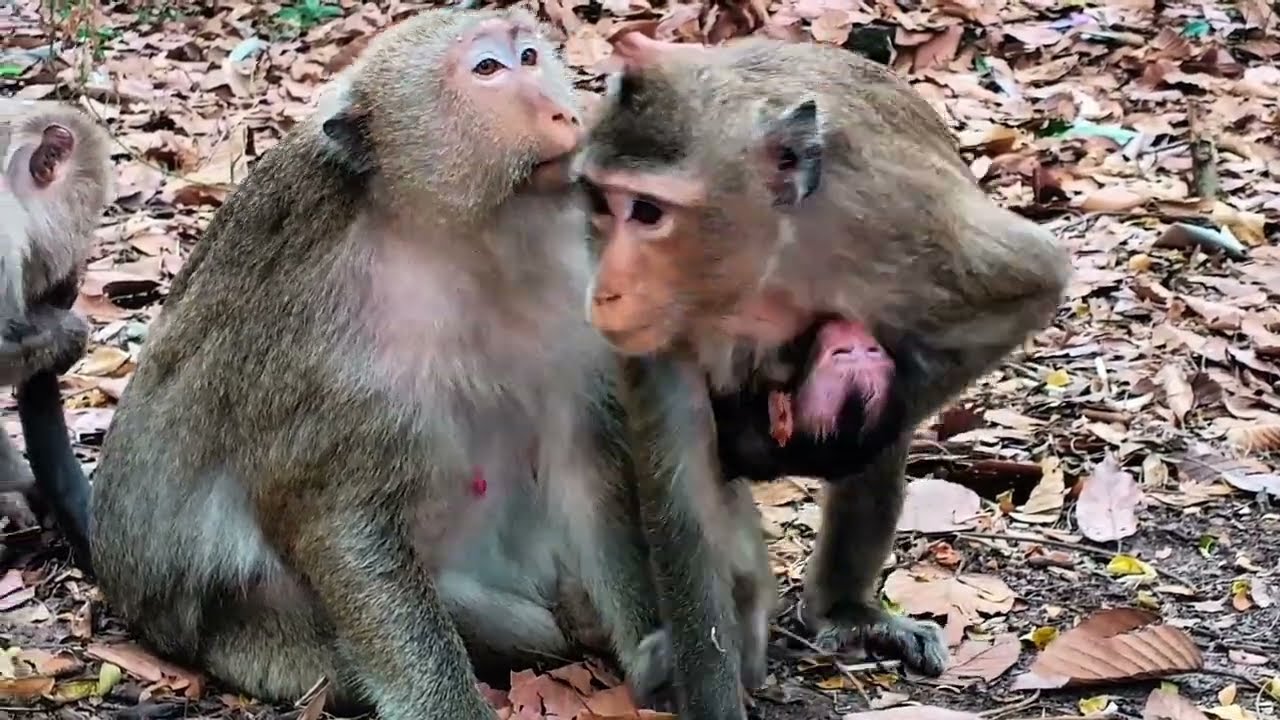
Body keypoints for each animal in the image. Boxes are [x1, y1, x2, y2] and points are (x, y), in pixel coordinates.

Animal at [88, 10, 773, 720]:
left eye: (530, 56)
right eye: (487, 70)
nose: (564, 111)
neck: (463, 234)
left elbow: (587, 467)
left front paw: (649, 649)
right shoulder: (331, 346)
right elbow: (340, 520)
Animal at [575, 32, 1071, 679]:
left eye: (648, 213)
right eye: (600, 203)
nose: (606, 289)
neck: (767, 257)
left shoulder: (898, 218)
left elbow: (1031, 285)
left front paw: (811, 443)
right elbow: (682, 499)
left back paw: (844, 607)